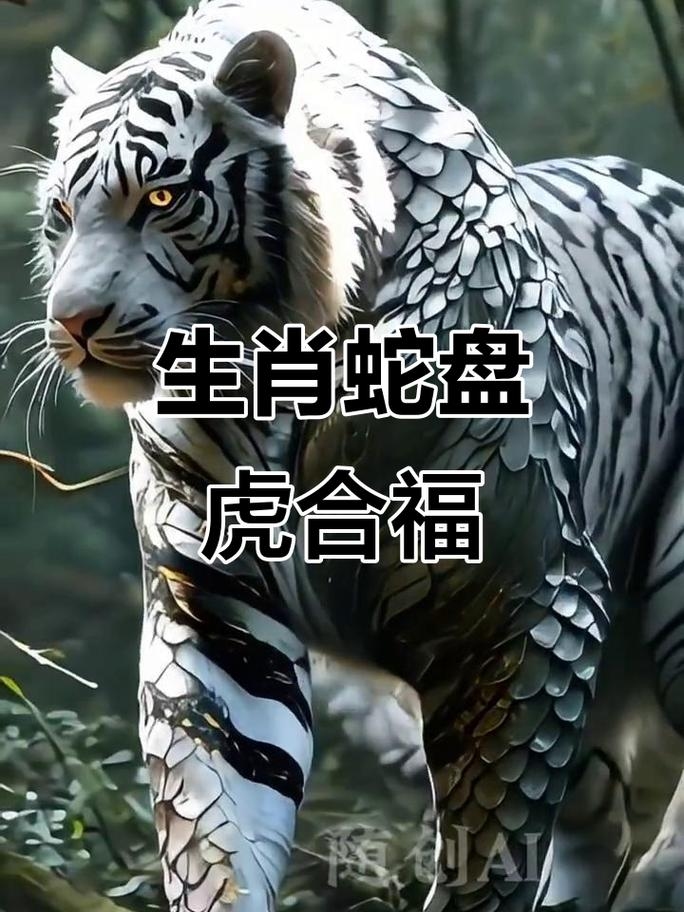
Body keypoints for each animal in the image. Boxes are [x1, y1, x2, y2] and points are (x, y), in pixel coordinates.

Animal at [15, 0, 684, 909]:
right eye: (60, 211)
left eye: (160, 196)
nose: (72, 321)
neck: (278, 371)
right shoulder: (214, 606)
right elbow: (215, 815)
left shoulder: (532, 603)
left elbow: (492, 837)